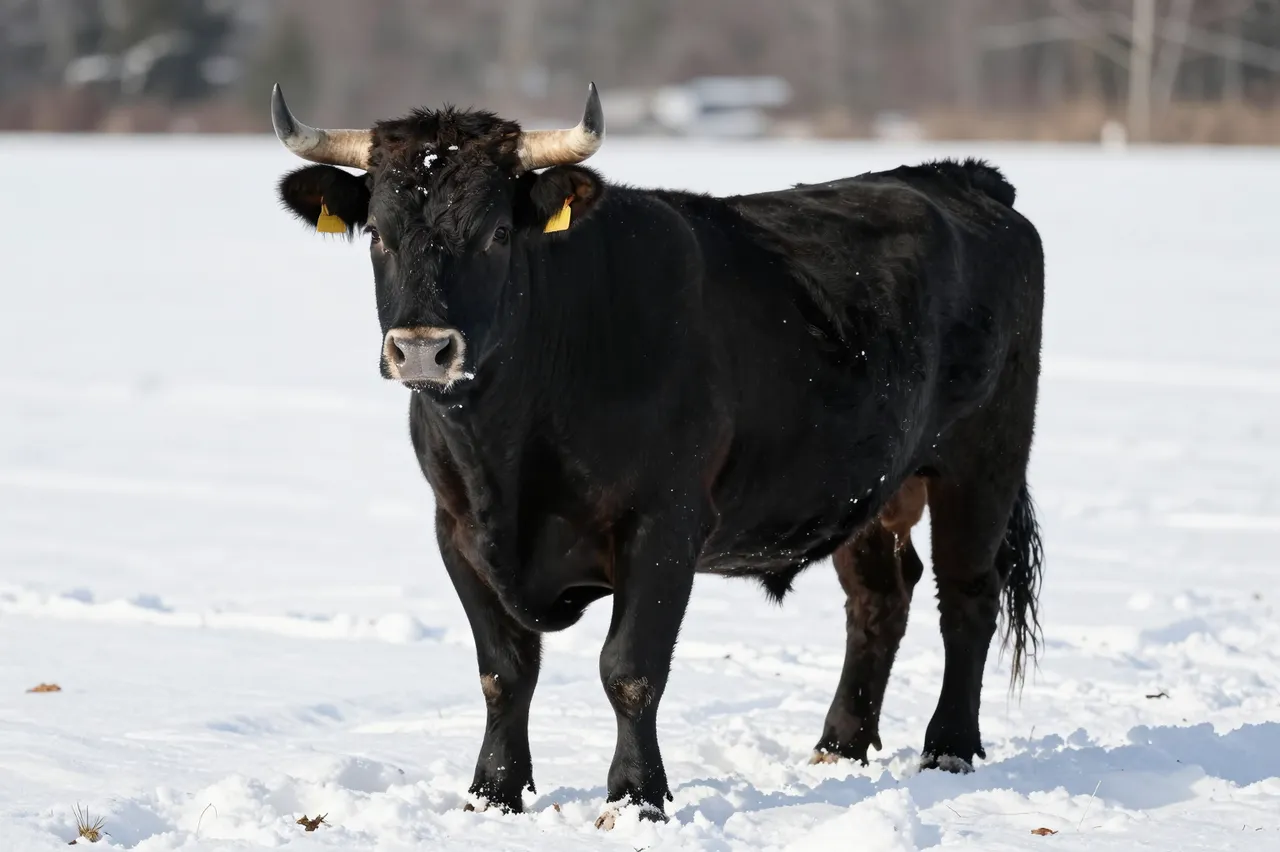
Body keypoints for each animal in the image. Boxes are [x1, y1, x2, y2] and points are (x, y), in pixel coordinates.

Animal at [270, 81, 1045, 825]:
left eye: (497, 232)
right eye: (380, 233)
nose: (423, 348)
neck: (508, 451)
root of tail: (956, 176)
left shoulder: (665, 523)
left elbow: (630, 669)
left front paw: (635, 797)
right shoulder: (456, 529)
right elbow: (503, 672)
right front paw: (491, 793)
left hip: (982, 459)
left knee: (967, 598)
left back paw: (948, 747)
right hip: (872, 487)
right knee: (881, 599)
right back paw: (838, 746)